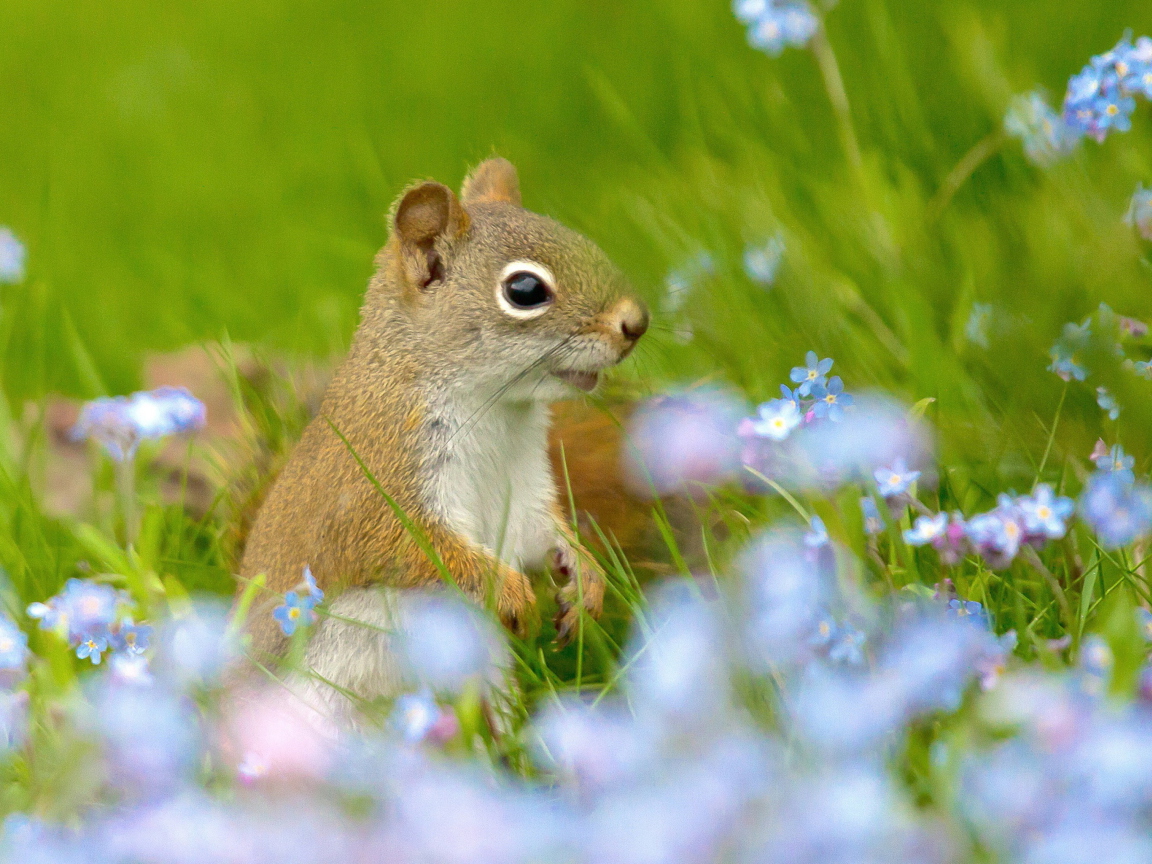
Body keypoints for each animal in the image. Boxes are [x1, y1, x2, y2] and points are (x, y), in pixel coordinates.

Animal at [238, 157, 649, 718]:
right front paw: (510, 591)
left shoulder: (523, 488)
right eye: (525, 290)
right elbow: (411, 546)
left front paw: (585, 579)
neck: (497, 411)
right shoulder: (378, 480)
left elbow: (542, 533)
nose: (637, 323)